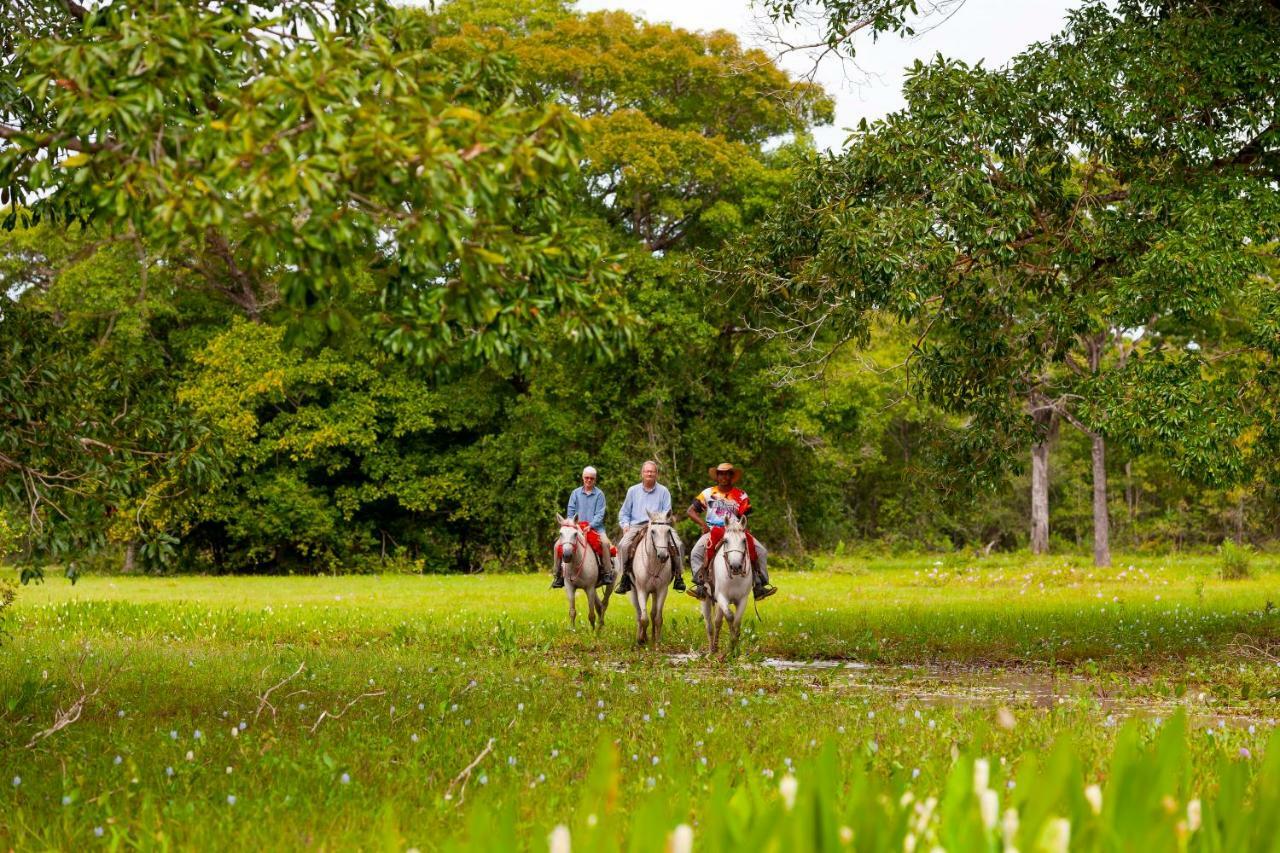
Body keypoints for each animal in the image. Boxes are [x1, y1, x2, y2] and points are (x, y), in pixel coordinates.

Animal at [629, 507, 680, 640]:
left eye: (668, 531)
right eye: (652, 531)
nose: (663, 556)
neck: (652, 564)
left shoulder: (662, 590)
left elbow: (657, 618)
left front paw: (656, 641)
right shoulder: (642, 590)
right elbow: (644, 618)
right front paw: (641, 639)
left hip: (654, 592)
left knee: (652, 613)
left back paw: (651, 637)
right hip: (634, 590)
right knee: (639, 613)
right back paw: (640, 636)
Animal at [706, 512, 752, 655]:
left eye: (744, 540)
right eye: (726, 541)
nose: (735, 566)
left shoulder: (743, 599)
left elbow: (737, 621)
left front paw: (734, 650)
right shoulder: (721, 597)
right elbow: (730, 617)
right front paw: (731, 647)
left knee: (718, 621)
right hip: (706, 599)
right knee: (711, 624)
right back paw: (712, 649)